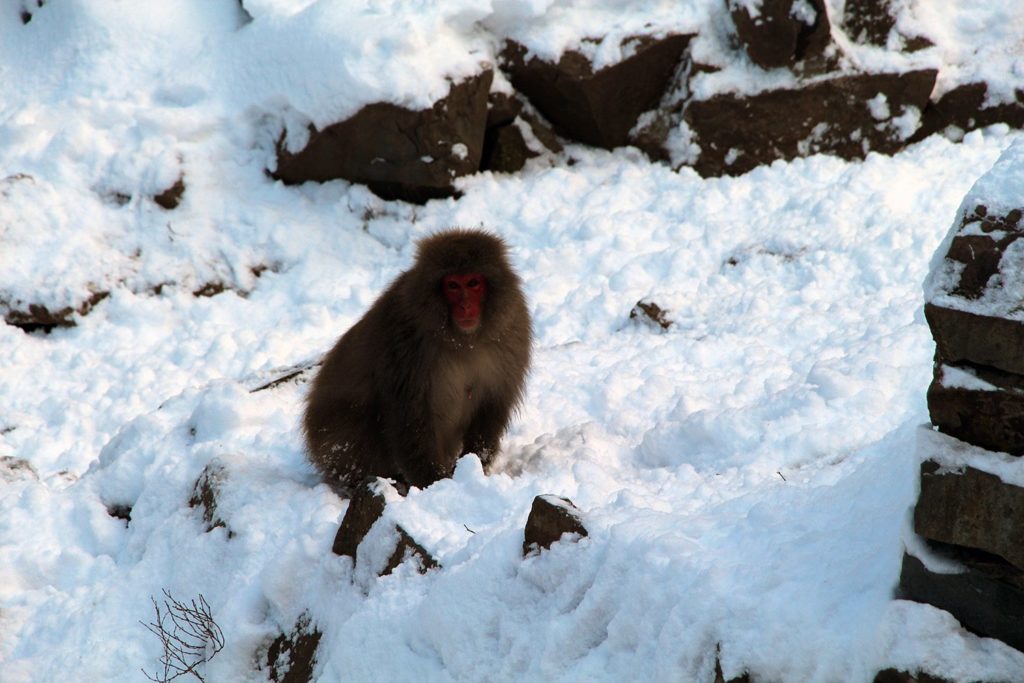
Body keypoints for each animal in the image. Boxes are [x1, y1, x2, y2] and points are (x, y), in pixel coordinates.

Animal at [303, 229, 532, 491]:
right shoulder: (405, 340)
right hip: (333, 439)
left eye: (474, 283)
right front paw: (434, 483)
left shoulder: (512, 331)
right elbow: (410, 415)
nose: (465, 306)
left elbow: (492, 405)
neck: (463, 340)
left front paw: (474, 466)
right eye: (453, 285)